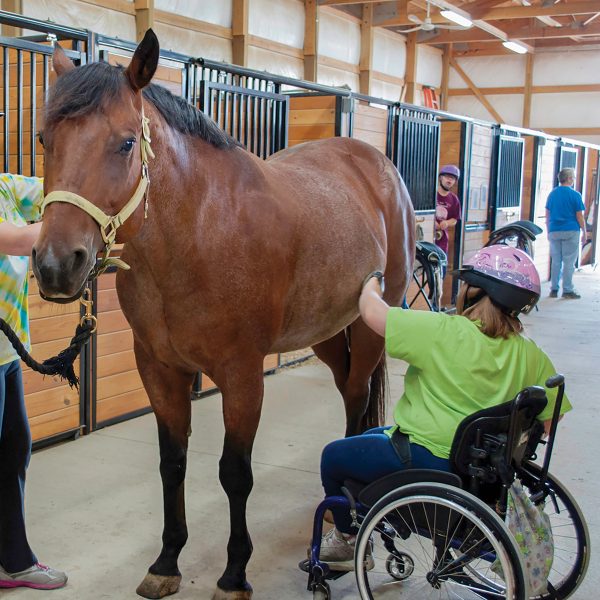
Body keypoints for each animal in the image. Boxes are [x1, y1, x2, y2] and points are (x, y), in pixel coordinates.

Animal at [31, 30, 412, 596]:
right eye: (44, 140)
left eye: (125, 143)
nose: (57, 265)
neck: (199, 231)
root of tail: (379, 167)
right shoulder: (159, 369)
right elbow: (172, 463)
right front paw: (166, 562)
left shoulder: (241, 375)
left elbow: (235, 473)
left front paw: (234, 572)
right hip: (325, 331)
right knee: (349, 392)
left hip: (371, 326)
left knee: (358, 397)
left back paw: (346, 528)